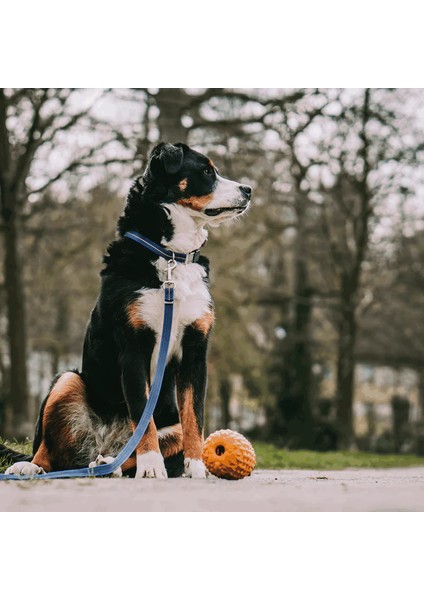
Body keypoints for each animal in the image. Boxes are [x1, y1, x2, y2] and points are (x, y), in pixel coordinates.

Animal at [0, 143, 252, 480]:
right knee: (49, 450)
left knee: (131, 450)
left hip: (168, 427)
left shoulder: (195, 351)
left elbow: (194, 419)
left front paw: (198, 467)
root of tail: (105, 442)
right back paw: (32, 466)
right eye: (206, 171)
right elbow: (143, 417)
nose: (248, 189)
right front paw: (151, 466)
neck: (170, 258)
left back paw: (110, 465)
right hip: (67, 380)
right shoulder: (134, 348)